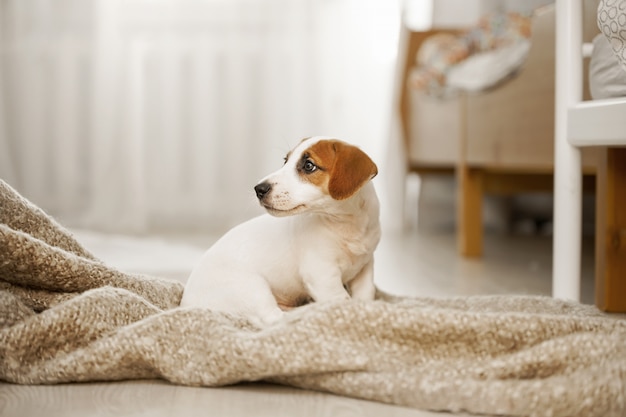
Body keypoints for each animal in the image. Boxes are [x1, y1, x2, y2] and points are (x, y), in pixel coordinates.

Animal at [178, 136, 378, 324]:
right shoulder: (322, 275)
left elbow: (365, 295)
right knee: (273, 319)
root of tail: (188, 305)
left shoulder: (365, 268)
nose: (259, 189)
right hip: (251, 287)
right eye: (285, 161)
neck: (346, 226)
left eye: (308, 166)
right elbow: (342, 301)